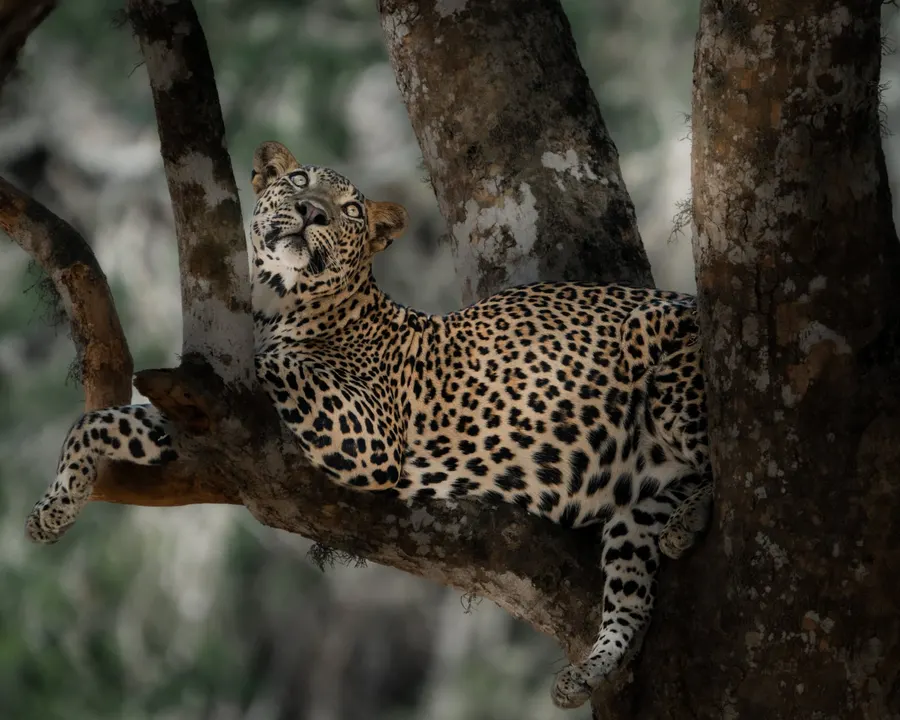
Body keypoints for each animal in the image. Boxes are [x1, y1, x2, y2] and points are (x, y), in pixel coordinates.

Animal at [25, 140, 713, 710]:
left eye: (352, 210)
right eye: (298, 180)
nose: (312, 213)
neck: (277, 298)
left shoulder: (366, 432)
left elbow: (279, 363)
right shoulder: (212, 430)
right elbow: (100, 421)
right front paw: (52, 510)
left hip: (666, 364)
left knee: (726, 462)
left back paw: (691, 518)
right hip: (634, 509)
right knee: (632, 599)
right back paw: (589, 671)